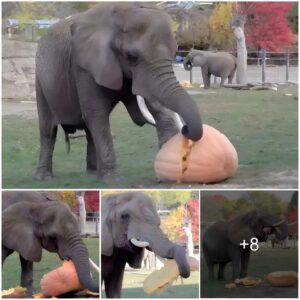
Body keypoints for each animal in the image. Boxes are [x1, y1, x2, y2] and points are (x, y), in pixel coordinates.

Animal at [35, 2, 204, 182]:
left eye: (174, 53)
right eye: (132, 57)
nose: (186, 130)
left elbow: (157, 108)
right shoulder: (83, 66)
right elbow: (96, 114)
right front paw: (113, 180)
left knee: (89, 130)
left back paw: (93, 173)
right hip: (40, 80)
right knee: (48, 130)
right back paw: (44, 178)